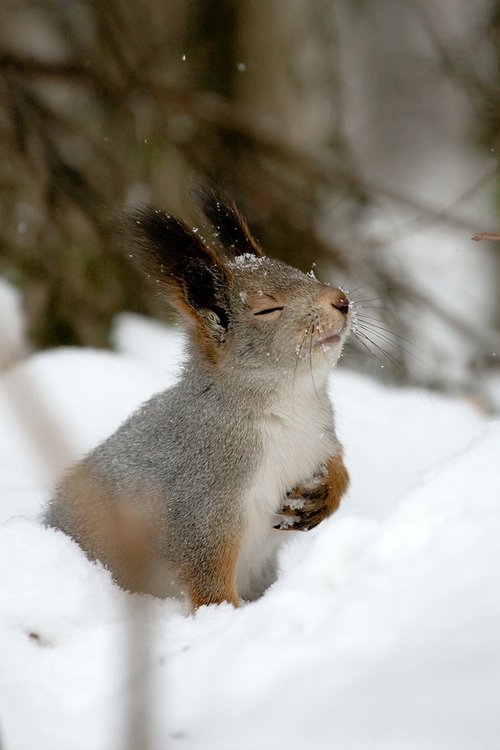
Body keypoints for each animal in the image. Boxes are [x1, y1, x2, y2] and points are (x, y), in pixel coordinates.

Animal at [44, 188, 351, 609]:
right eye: (267, 308)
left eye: (303, 272)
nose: (342, 300)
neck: (290, 405)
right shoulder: (202, 500)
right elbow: (207, 574)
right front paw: (225, 615)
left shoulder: (320, 437)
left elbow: (339, 467)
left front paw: (324, 493)